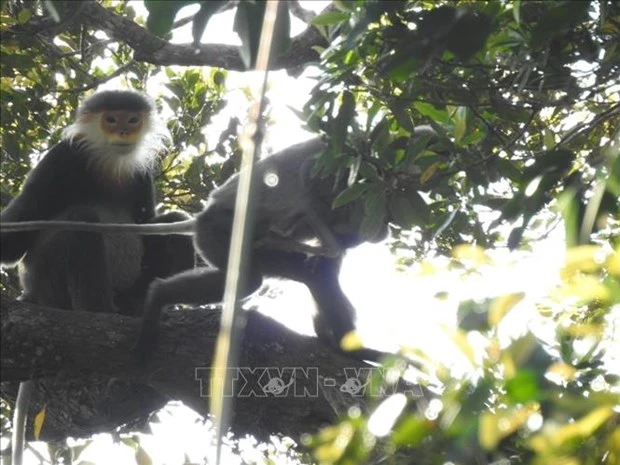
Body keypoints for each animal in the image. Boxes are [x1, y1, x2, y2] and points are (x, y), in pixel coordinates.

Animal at [0, 88, 194, 464]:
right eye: (111, 119)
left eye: (132, 120)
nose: (124, 132)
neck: (108, 163)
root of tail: (32, 294)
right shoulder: (61, 159)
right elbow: (13, 244)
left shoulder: (141, 175)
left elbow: (152, 223)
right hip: (48, 282)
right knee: (83, 219)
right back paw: (101, 313)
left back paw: (138, 306)